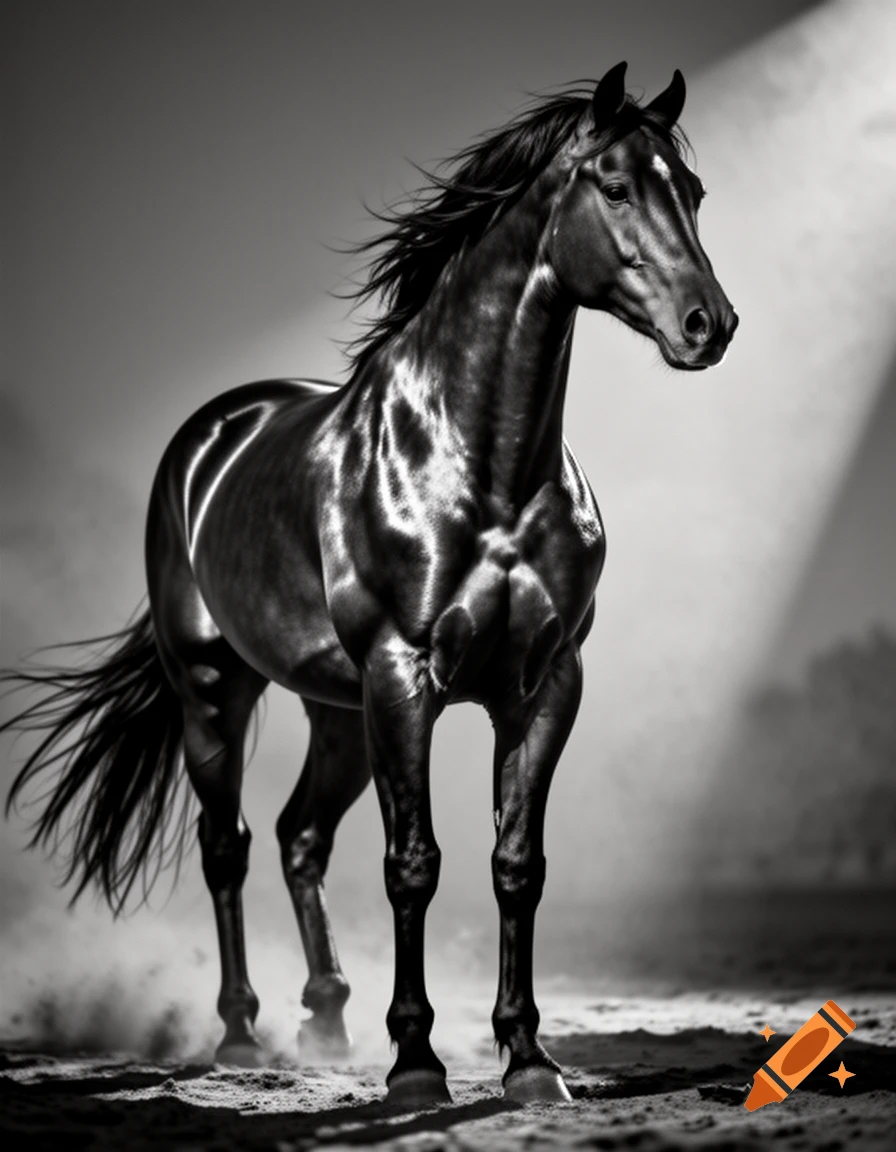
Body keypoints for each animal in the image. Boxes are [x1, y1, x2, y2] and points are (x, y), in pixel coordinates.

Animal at [2, 62, 736, 1105]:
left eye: (695, 191)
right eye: (614, 185)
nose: (709, 325)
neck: (482, 472)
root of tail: (210, 436)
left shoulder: (546, 686)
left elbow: (517, 863)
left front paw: (528, 1061)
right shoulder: (404, 678)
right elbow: (413, 865)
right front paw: (418, 1064)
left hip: (339, 715)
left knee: (299, 837)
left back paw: (327, 1020)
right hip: (217, 692)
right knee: (227, 845)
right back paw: (241, 1036)